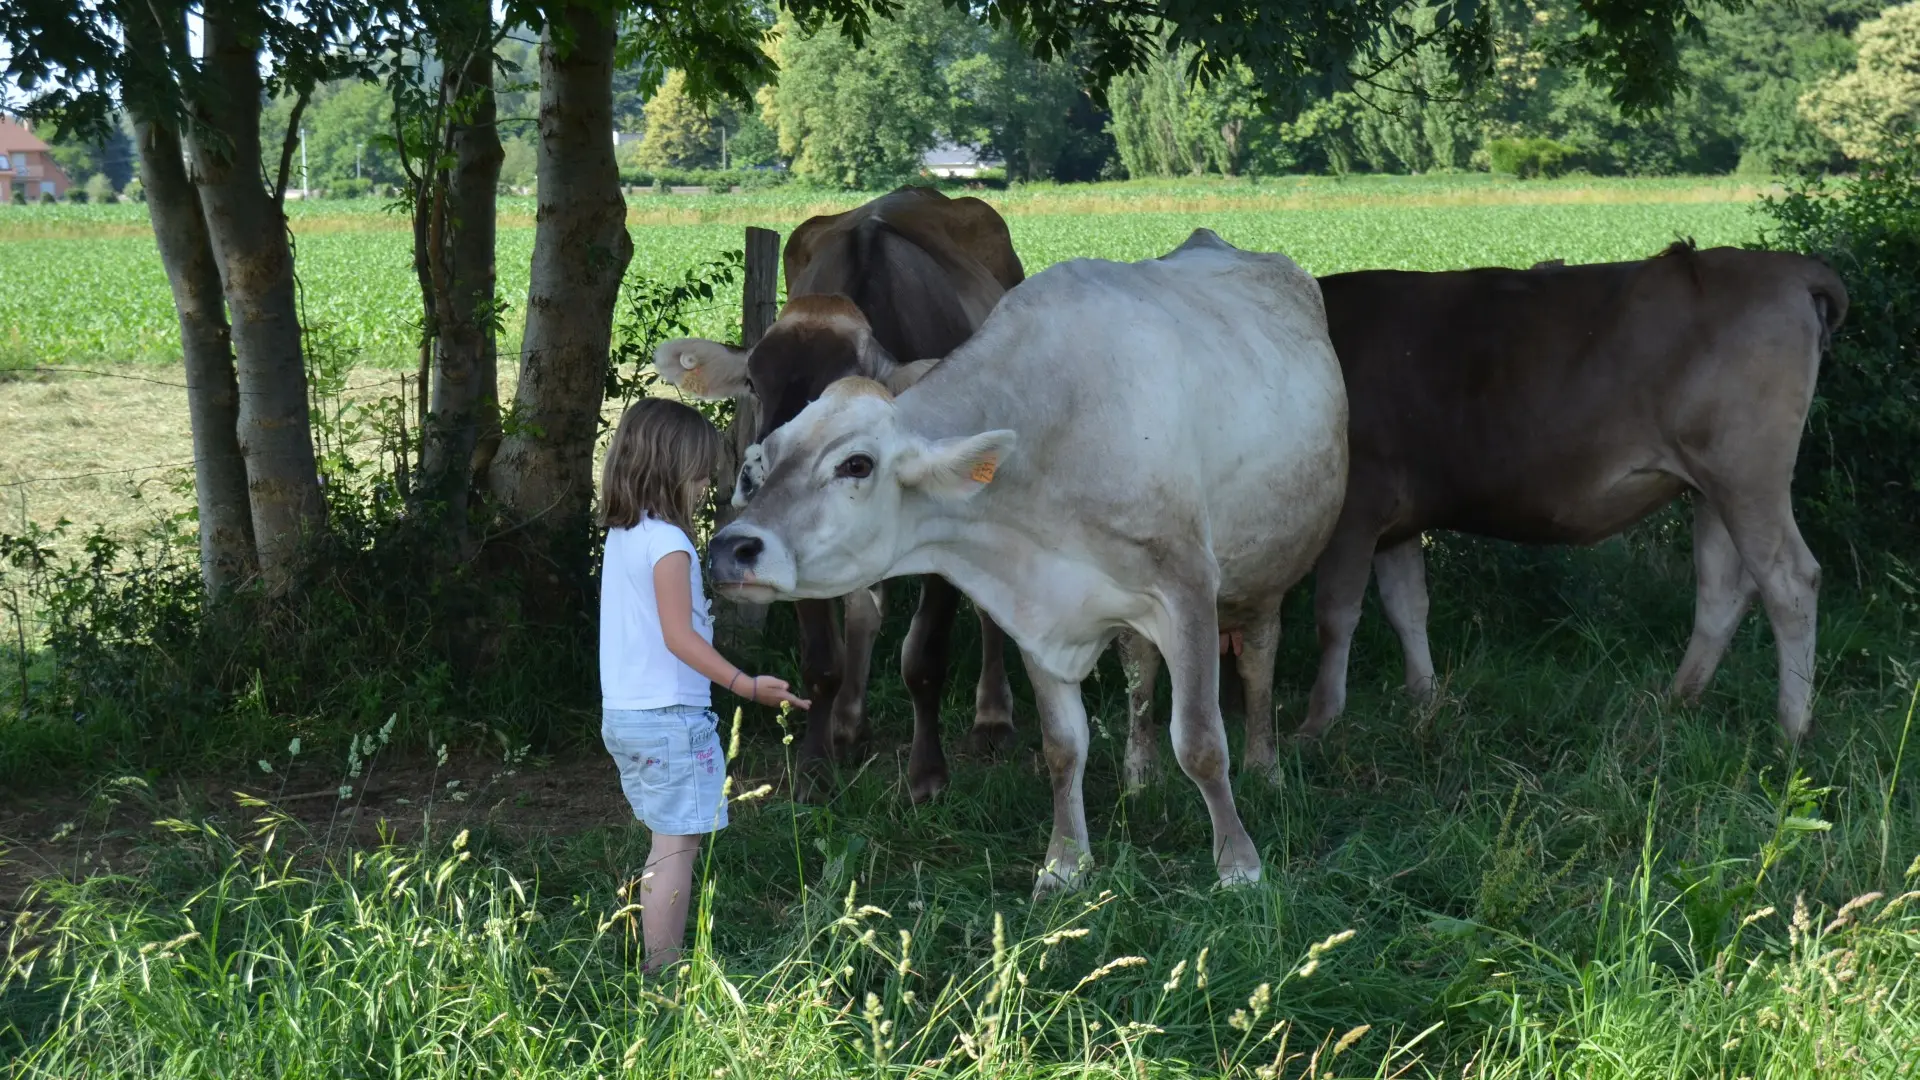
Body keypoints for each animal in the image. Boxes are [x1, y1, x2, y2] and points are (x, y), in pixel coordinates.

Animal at [656, 184, 1029, 799]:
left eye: (841, 392)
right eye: (753, 381)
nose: (759, 475)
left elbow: (924, 656)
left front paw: (928, 775)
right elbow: (823, 658)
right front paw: (814, 766)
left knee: (987, 609)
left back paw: (993, 719)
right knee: (863, 610)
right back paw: (849, 727)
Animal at [706, 231, 1351, 887]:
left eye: (856, 464)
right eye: (771, 451)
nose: (731, 547)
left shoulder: (1189, 588)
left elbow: (1199, 740)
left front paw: (1238, 865)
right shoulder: (1038, 609)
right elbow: (1063, 745)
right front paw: (1064, 864)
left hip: (1268, 568)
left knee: (1259, 660)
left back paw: (1265, 766)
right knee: (1140, 669)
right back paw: (1139, 776)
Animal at [1305, 243, 1843, 737]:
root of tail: (1787, 266)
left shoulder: (1355, 507)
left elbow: (1335, 614)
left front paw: (1319, 724)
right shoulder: (1398, 518)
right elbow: (1408, 607)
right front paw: (1423, 700)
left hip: (1747, 476)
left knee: (1790, 581)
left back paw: (1791, 729)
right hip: (1711, 486)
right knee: (1722, 589)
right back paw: (1676, 701)